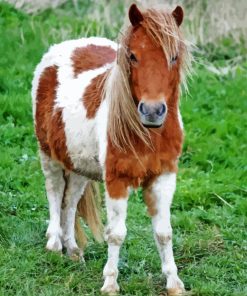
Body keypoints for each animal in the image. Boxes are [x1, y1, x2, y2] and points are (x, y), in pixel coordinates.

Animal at [31, 3, 191, 294]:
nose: (152, 111)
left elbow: (164, 233)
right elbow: (116, 234)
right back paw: (54, 244)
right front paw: (110, 283)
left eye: (174, 57)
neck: (146, 134)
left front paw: (174, 283)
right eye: (133, 56)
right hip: (49, 155)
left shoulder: (164, 177)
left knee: (70, 201)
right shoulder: (117, 180)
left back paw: (73, 250)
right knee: (54, 192)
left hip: (79, 165)